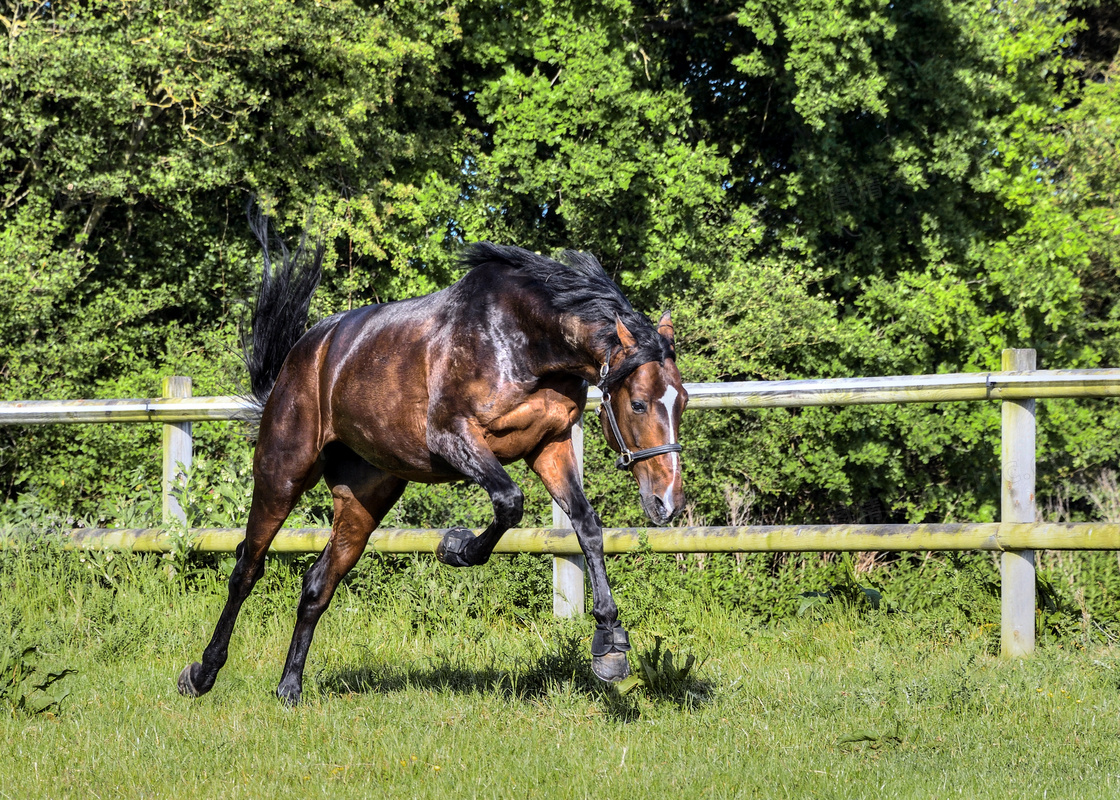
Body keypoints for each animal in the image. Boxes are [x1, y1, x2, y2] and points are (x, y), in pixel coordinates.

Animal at [175, 215, 685, 699]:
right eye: (639, 404)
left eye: (680, 401)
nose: (667, 503)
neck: (522, 340)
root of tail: (302, 357)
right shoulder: (453, 437)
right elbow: (509, 502)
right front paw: (454, 547)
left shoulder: (549, 445)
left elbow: (587, 526)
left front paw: (610, 645)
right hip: (282, 474)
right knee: (247, 567)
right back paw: (201, 674)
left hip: (366, 497)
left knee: (318, 583)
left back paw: (289, 687)